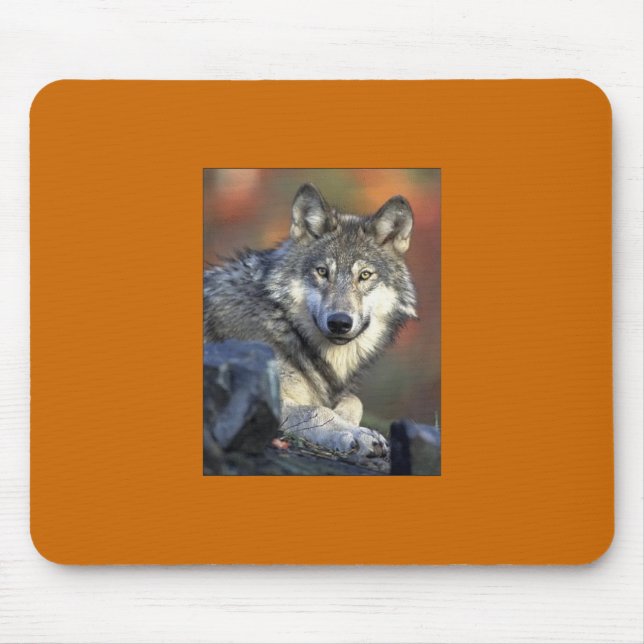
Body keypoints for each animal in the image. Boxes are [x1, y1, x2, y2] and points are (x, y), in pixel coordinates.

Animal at [204, 183, 417, 460]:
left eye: (365, 275)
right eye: (322, 272)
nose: (339, 322)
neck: (284, 323)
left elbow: (353, 401)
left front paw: (349, 423)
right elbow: (317, 410)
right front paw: (356, 434)